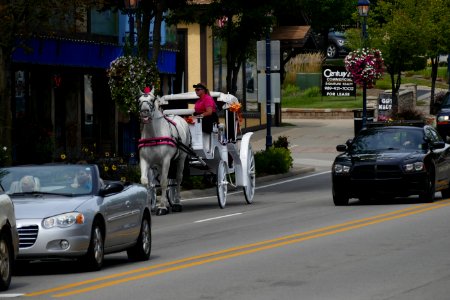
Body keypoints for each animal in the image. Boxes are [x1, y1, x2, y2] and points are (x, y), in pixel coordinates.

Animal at [139, 87, 192, 216]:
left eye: (152, 100)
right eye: (139, 100)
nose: (144, 112)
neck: (154, 134)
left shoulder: (166, 160)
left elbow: (163, 182)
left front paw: (162, 207)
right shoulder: (145, 160)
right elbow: (146, 183)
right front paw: (148, 206)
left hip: (181, 158)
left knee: (178, 178)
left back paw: (177, 202)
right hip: (158, 165)